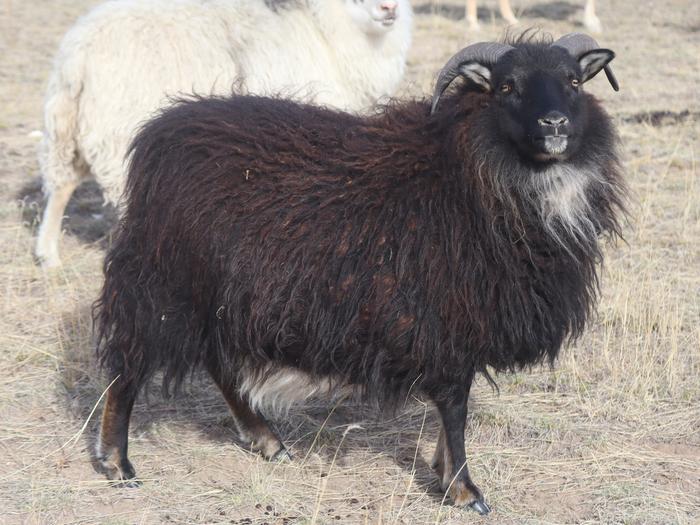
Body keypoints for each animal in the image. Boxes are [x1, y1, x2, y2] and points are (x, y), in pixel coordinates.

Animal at [37, 0, 410, 268]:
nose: (389, 8)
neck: (324, 32)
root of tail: (80, 50)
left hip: (69, 126)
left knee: (61, 185)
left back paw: (48, 254)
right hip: (116, 129)